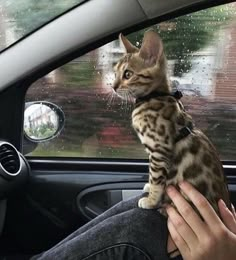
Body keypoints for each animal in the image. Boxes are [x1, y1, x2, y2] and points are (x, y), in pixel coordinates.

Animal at [112, 30, 230, 216]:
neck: (153, 97)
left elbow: (156, 178)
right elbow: (153, 176)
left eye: (128, 74)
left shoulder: (159, 150)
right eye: (115, 73)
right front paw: (150, 190)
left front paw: (151, 200)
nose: (113, 87)